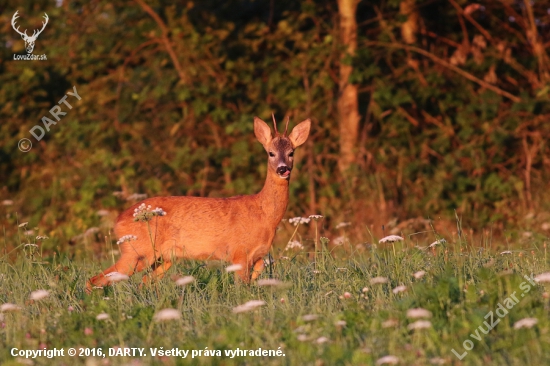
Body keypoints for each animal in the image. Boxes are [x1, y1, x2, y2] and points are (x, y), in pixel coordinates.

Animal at [86, 116, 310, 290]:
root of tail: (118, 221)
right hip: (136, 252)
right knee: (95, 280)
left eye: (291, 152)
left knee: (143, 283)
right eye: (271, 153)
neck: (265, 214)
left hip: (163, 259)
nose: (283, 169)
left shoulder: (260, 257)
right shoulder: (238, 253)